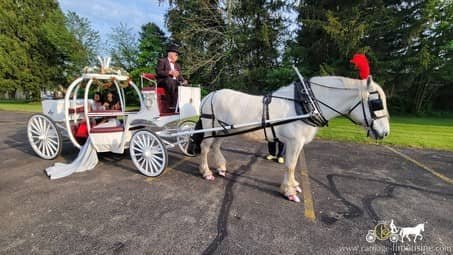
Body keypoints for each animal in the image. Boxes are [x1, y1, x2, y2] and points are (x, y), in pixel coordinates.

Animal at [194, 74, 388, 202]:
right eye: (376, 103)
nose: (385, 132)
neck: (306, 104)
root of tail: (209, 95)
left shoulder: (297, 143)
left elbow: (292, 164)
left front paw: (294, 185)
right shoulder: (294, 142)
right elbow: (291, 165)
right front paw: (289, 192)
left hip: (222, 130)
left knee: (216, 147)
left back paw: (221, 168)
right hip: (211, 129)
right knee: (205, 147)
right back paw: (206, 172)